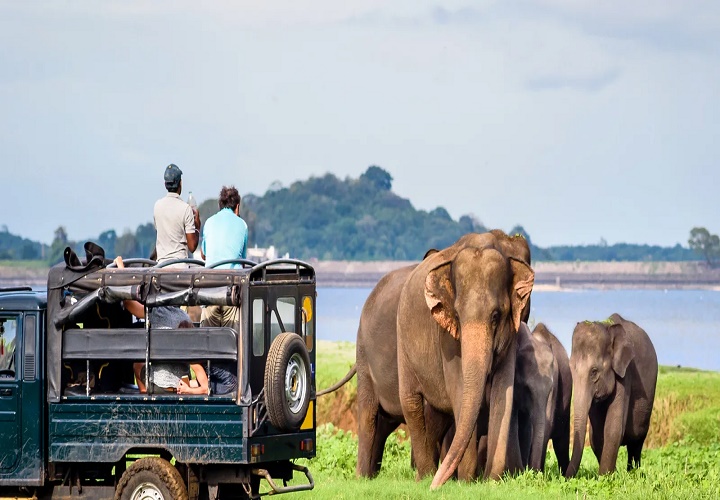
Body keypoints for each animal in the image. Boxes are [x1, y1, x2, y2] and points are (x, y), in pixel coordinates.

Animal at [396, 231, 532, 488]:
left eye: (496, 316)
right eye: (457, 315)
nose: (435, 488)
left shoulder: (512, 332)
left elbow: (503, 393)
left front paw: (490, 480)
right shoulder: (447, 339)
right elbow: (459, 391)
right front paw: (466, 482)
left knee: (437, 413)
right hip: (402, 341)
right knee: (411, 402)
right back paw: (425, 476)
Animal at [564, 312, 660, 476]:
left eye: (594, 371)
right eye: (570, 368)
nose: (563, 476)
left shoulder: (625, 373)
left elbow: (613, 428)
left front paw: (605, 476)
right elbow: (597, 435)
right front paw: (610, 474)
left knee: (637, 442)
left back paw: (633, 473)